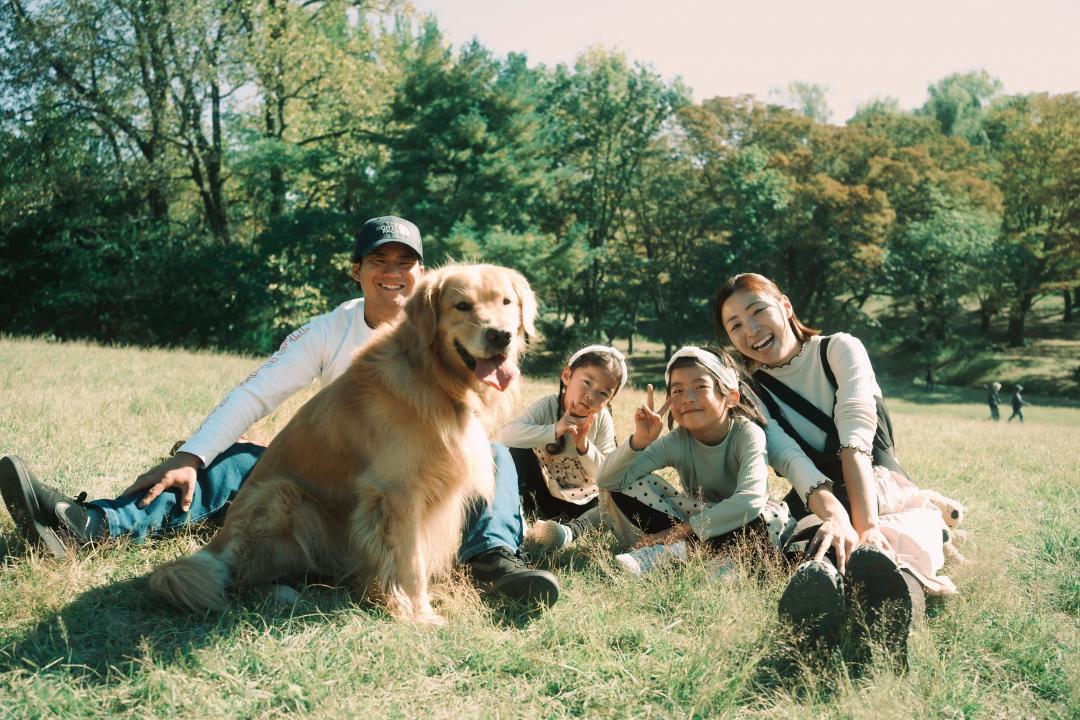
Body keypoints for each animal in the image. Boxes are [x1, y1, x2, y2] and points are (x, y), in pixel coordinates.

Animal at [150, 264, 537, 626]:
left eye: (506, 302)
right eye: (462, 305)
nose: (500, 336)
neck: (431, 377)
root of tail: (216, 544)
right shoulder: (396, 494)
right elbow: (410, 562)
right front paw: (418, 615)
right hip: (279, 495)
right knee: (241, 578)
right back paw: (279, 592)